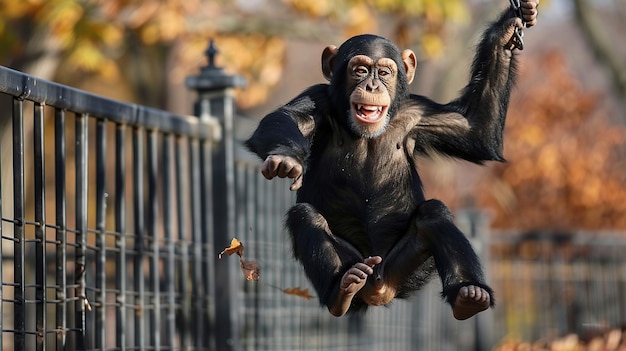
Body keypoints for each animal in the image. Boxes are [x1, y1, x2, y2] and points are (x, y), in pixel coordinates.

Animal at [244, 0, 536, 320]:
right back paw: (341, 290)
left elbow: (476, 130)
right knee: (306, 217)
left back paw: (469, 294)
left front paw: (507, 28)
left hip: (407, 271)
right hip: (360, 262)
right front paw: (286, 158)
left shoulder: (419, 113)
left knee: (433, 214)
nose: (372, 85)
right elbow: (285, 118)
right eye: (360, 70)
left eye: (384, 72)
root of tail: (379, 291)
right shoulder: (317, 99)